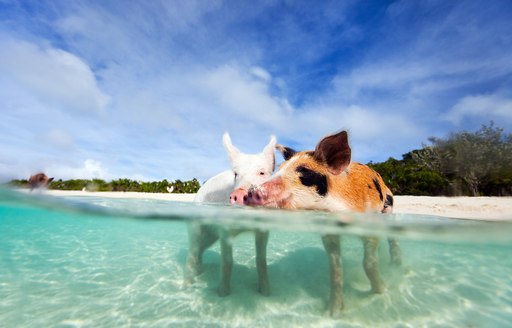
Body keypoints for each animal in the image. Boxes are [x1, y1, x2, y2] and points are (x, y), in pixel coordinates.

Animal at [185, 133, 276, 298]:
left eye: (262, 172)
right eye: (236, 174)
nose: (238, 194)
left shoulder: (263, 230)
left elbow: (261, 260)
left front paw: (266, 293)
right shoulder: (225, 230)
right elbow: (227, 261)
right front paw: (223, 294)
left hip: (211, 236)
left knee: (200, 250)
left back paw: (200, 272)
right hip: (196, 225)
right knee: (192, 252)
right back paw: (187, 287)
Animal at [242, 131, 402, 318]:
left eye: (304, 171)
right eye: (279, 169)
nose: (250, 192)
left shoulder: (370, 225)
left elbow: (368, 263)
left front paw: (381, 291)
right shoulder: (329, 233)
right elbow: (336, 269)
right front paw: (333, 313)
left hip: (388, 207)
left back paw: (396, 266)